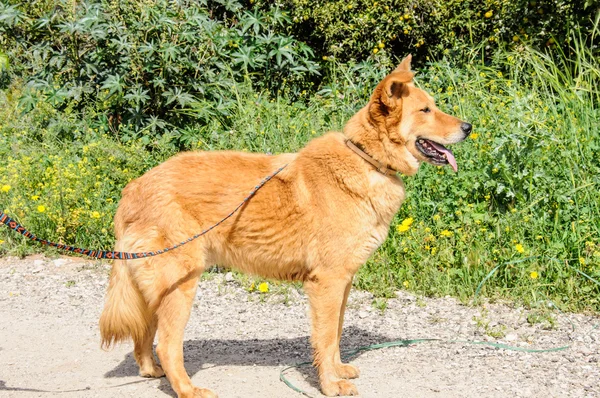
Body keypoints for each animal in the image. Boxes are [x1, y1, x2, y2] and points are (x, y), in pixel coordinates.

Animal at [99, 54, 474, 396]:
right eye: (425, 111)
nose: (469, 127)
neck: (367, 160)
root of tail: (134, 188)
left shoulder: (343, 282)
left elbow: (336, 335)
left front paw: (338, 370)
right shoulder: (327, 283)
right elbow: (325, 338)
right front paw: (329, 385)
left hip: (160, 287)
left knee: (145, 334)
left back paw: (151, 370)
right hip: (181, 286)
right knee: (167, 344)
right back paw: (188, 389)